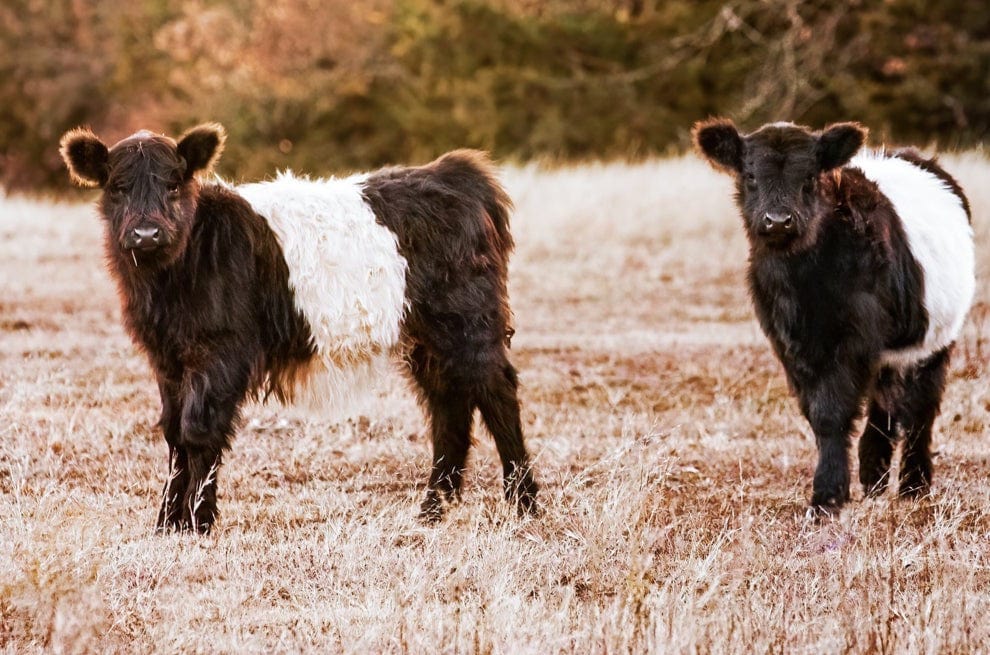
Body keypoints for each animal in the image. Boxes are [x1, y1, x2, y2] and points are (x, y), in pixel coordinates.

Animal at [59, 123, 538, 532]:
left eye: (174, 184)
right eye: (117, 187)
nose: (145, 233)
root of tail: (454, 171)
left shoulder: (221, 351)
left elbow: (199, 430)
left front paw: (198, 522)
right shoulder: (168, 358)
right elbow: (174, 433)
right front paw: (167, 524)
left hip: (470, 325)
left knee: (498, 395)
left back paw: (524, 505)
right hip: (427, 338)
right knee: (449, 406)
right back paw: (433, 511)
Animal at [693, 118, 974, 515]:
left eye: (810, 177)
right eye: (749, 175)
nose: (778, 221)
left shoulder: (851, 340)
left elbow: (832, 412)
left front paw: (826, 498)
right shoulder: (789, 344)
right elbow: (817, 415)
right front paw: (833, 490)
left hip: (936, 338)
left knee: (921, 407)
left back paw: (914, 486)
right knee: (885, 403)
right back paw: (874, 478)